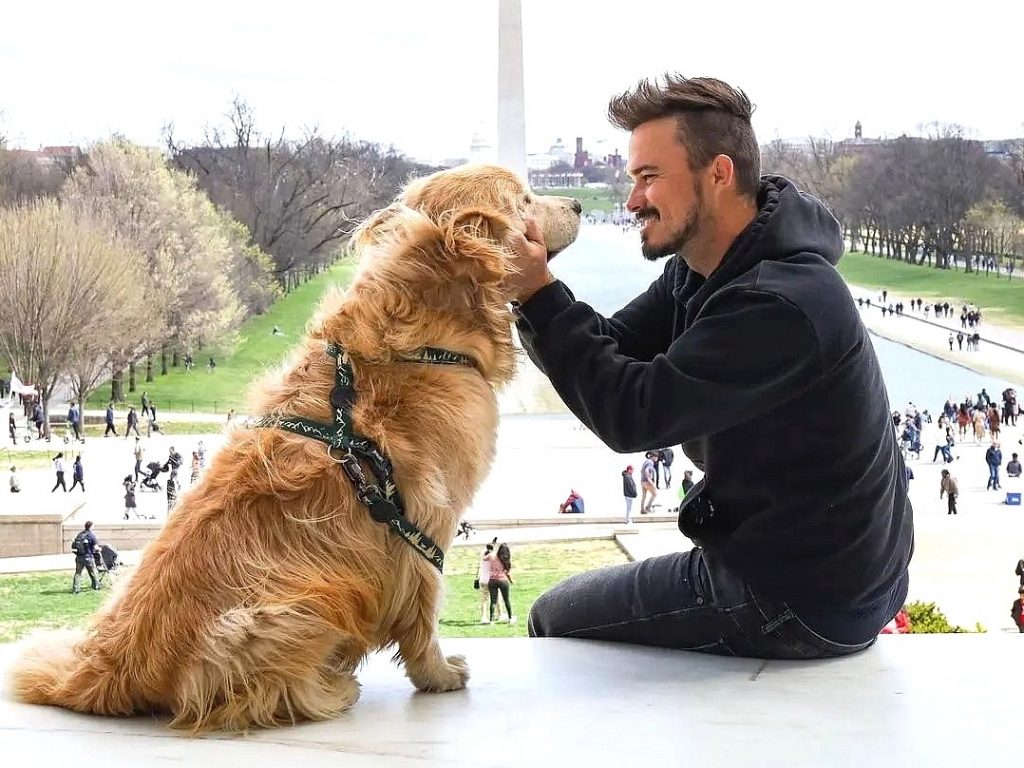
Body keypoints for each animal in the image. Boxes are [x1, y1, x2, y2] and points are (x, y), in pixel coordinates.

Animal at [8, 165, 581, 729]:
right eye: (525, 200)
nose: (577, 204)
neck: (421, 336)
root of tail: (105, 667)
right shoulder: (423, 525)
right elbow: (424, 610)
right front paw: (437, 675)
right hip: (292, 609)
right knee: (248, 699)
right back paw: (329, 689)